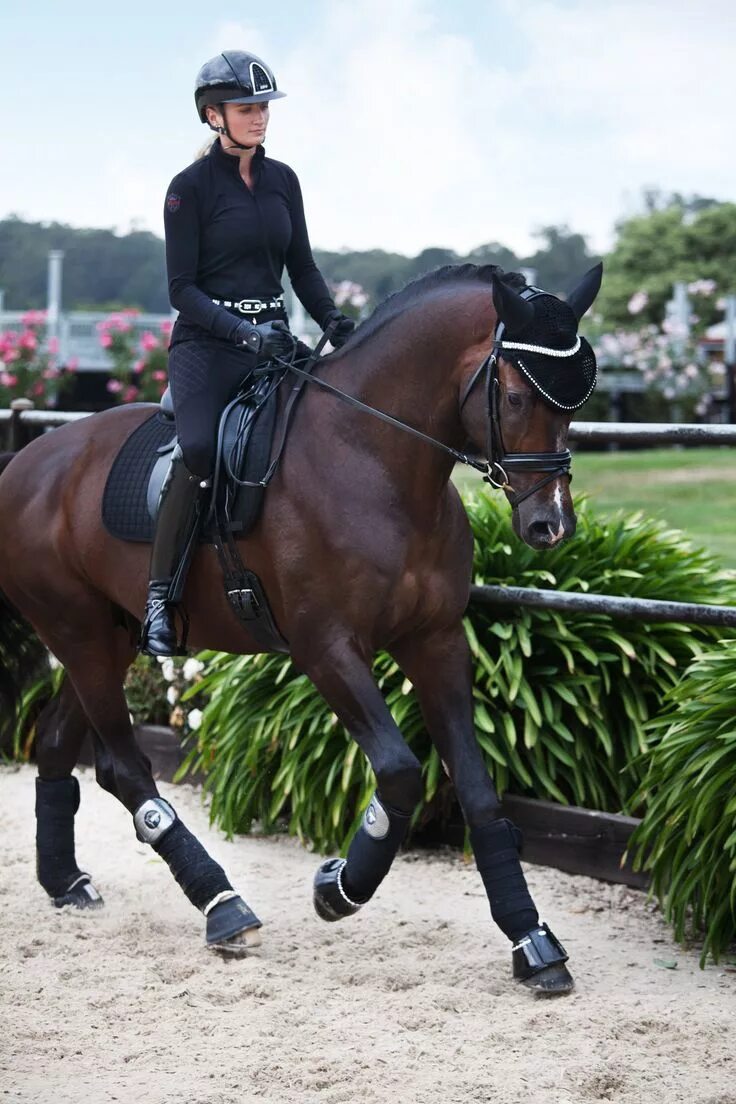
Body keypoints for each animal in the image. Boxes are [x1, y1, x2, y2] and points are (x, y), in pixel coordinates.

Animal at [0, 262, 600, 998]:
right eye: (514, 396)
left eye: (574, 404)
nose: (550, 525)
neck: (375, 461)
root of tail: (28, 462)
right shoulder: (327, 649)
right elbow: (401, 774)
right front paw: (340, 887)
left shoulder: (435, 641)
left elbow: (478, 788)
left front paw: (532, 940)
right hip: (80, 634)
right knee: (123, 767)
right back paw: (223, 906)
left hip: (105, 639)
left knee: (58, 743)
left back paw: (64, 881)